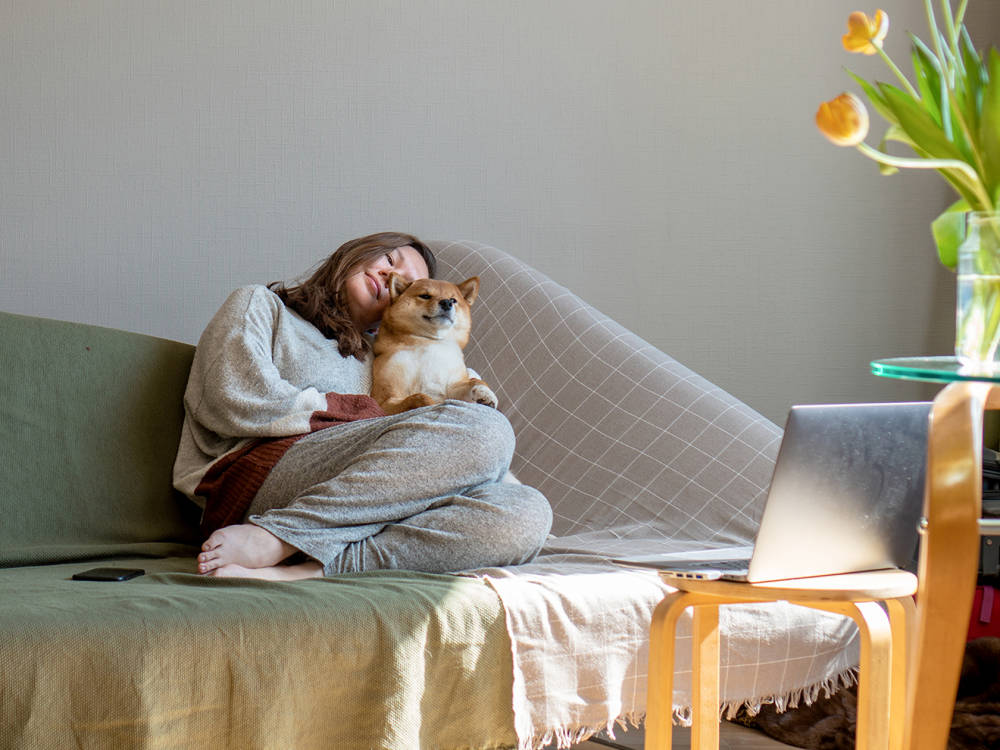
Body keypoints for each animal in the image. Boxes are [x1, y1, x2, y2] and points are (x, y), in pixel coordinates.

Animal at [372, 274, 500, 418]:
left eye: (453, 300)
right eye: (425, 296)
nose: (446, 302)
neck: (429, 341)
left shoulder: (452, 387)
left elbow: (474, 381)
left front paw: (485, 393)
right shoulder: (385, 401)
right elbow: (420, 398)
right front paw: (431, 406)